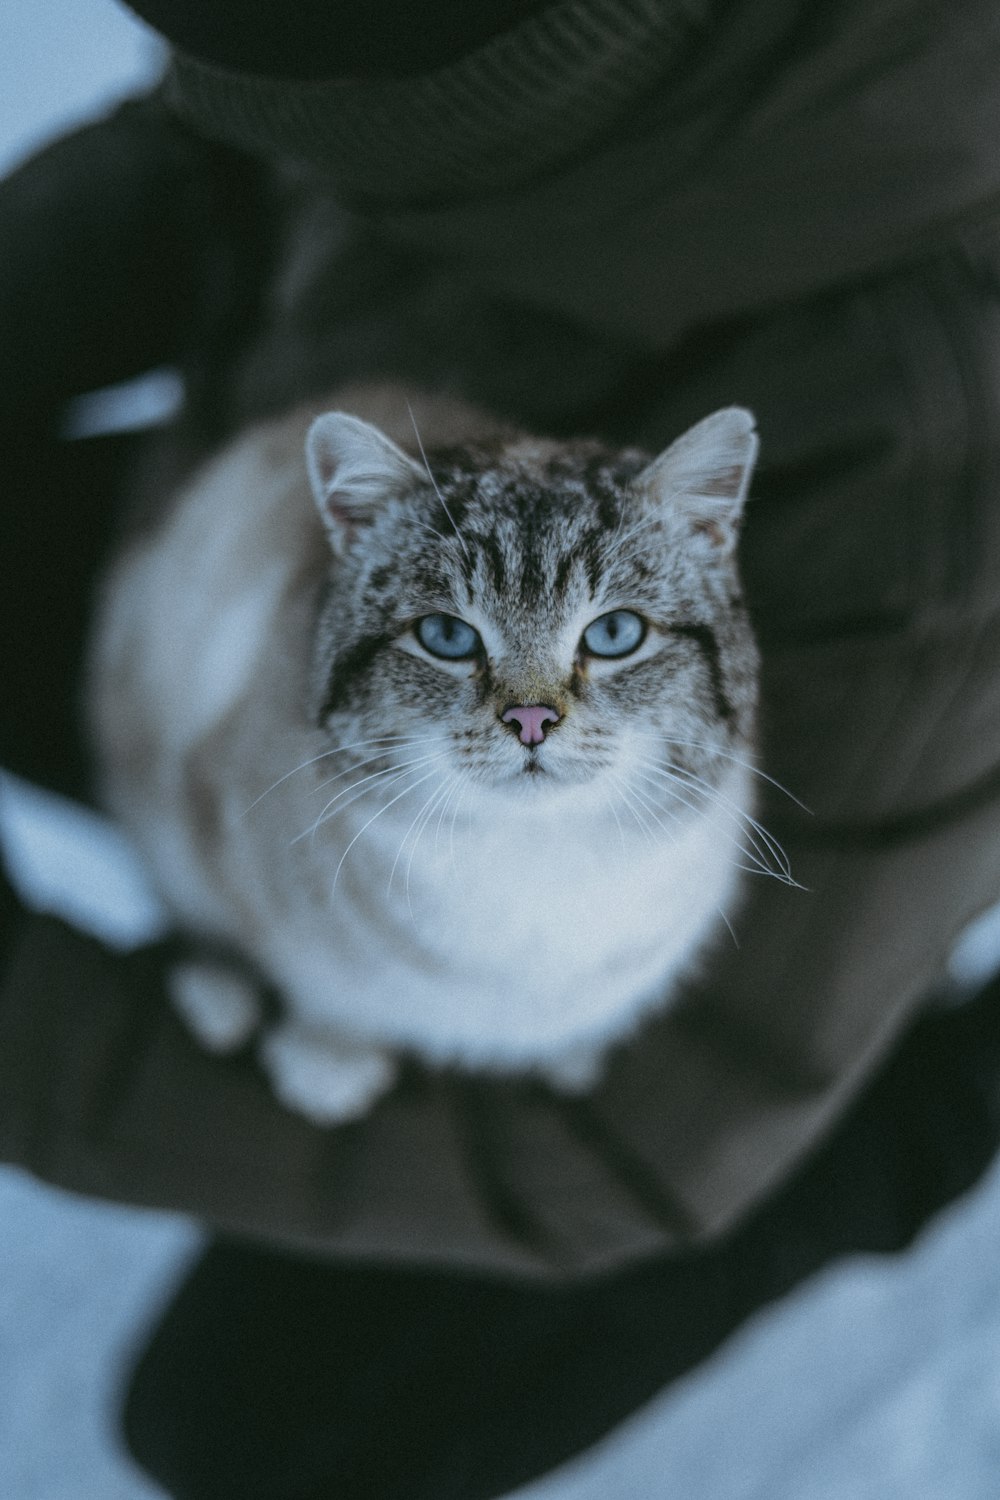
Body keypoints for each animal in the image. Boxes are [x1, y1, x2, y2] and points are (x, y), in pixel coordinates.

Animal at [89, 387, 767, 1128]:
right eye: (446, 636)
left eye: (615, 633)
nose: (531, 719)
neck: (530, 870)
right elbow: (315, 982)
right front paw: (327, 1060)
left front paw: (571, 1054)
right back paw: (220, 998)